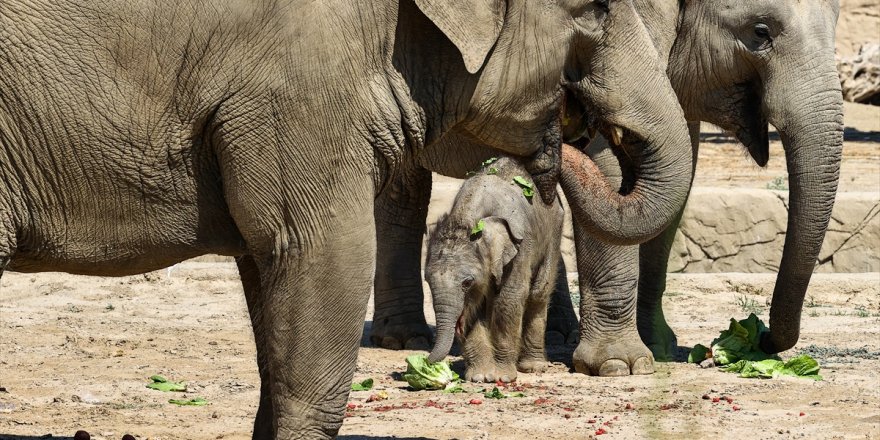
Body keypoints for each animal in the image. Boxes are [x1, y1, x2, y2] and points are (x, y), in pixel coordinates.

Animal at [426, 157, 564, 382]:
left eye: (467, 282)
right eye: (428, 281)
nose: (425, 360)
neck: (470, 218)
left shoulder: (521, 245)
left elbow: (508, 299)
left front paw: (502, 377)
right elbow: (474, 310)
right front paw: (480, 377)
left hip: (554, 231)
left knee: (538, 293)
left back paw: (532, 367)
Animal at [572, 0, 844, 376]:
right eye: (760, 32)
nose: (764, 337)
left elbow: (680, 168)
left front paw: (660, 348)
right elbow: (606, 164)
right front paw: (619, 365)